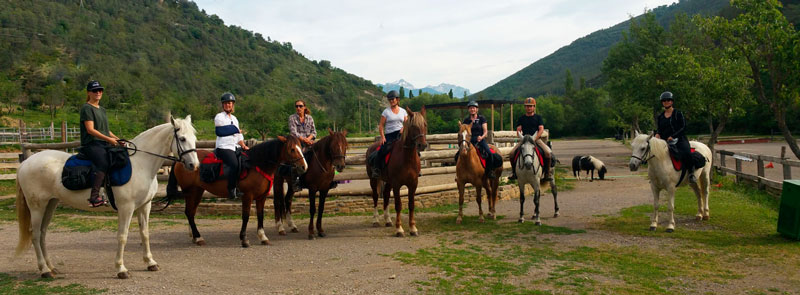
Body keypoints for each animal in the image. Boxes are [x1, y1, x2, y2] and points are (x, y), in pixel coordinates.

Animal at [15, 116, 198, 280]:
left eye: (194, 139)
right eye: (182, 138)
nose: (194, 165)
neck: (141, 164)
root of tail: (25, 163)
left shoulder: (145, 206)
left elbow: (144, 233)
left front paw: (150, 263)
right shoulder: (126, 208)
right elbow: (122, 236)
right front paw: (121, 269)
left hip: (50, 204)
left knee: (43, 233)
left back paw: (51, 267)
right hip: (37, 207)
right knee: (35, 234)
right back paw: (44, 270)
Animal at [171, 136, 306, 247]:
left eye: (301, 147)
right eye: (292, 149)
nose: (304, 166)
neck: (256, 165)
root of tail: (181, 160)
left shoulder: (261, 197)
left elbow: (260, 215)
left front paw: (263, 237)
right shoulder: (247, 196)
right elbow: (246, 216)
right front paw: (244, 239)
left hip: (197, 191)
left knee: (191, 213)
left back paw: (196, 237)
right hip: (190, 192)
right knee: (189, 212)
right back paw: (198, 238)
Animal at [368, 107, 428, 237]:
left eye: (425, 124)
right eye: (413, 126)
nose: (422, 145)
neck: (406, 157)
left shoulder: (413, 184)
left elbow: (411, 205)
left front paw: (413, 228)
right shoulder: (396, 184)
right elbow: (398, 205)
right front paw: (399, 229)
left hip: (388, 182)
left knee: (385, 195)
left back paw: (388, 220)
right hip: (373, 180)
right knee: (375, 197)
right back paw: (375, 220)